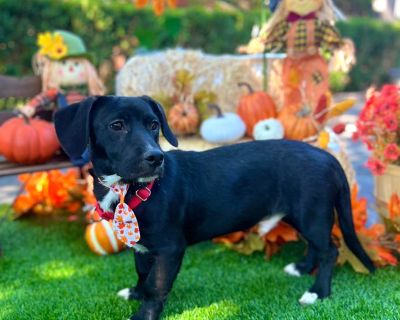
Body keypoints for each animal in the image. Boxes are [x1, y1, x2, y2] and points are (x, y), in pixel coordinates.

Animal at [54, 96, 376, 320]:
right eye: (116, 126)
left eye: (154, 125)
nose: (156, 158)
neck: (128, 189)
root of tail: (328, 157)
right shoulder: (143, 246)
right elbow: (143, 274)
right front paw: (135, 292)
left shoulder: (170, 248)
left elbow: (157, 285)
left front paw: (144, 314)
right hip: (301, 216)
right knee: (315, 246)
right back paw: (301, 268)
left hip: (313, 214)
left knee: (330, 250)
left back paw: (317, 292)